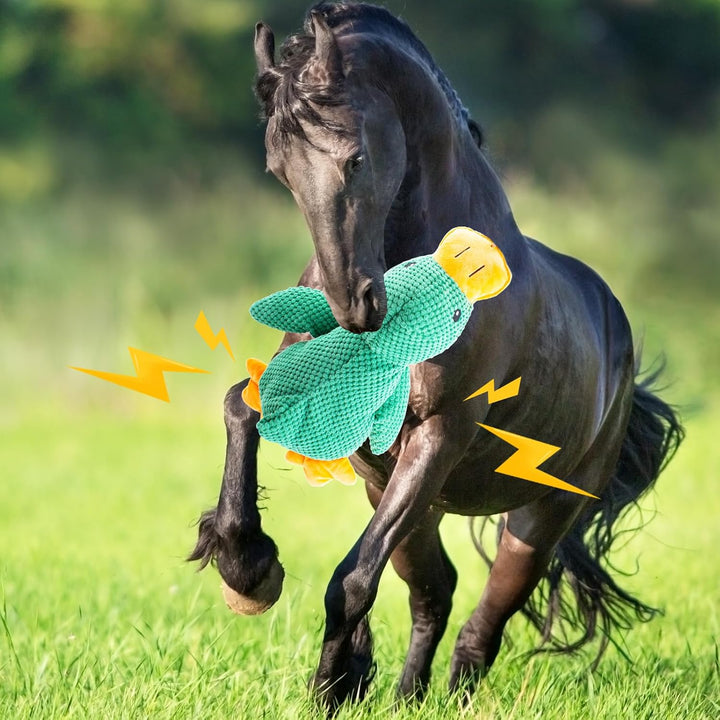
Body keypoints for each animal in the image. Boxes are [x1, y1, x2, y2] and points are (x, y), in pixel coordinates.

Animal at [189, 2, 683, 709]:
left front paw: (326, 689)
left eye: (356, 159)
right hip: (404, 501)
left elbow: (351, 583)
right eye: (279, 172)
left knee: (483, 622)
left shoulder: (439, 433)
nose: (355, 307)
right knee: (436, 592)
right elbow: (241, 405)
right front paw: (247, 570)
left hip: (536, 518)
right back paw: (405, 696)